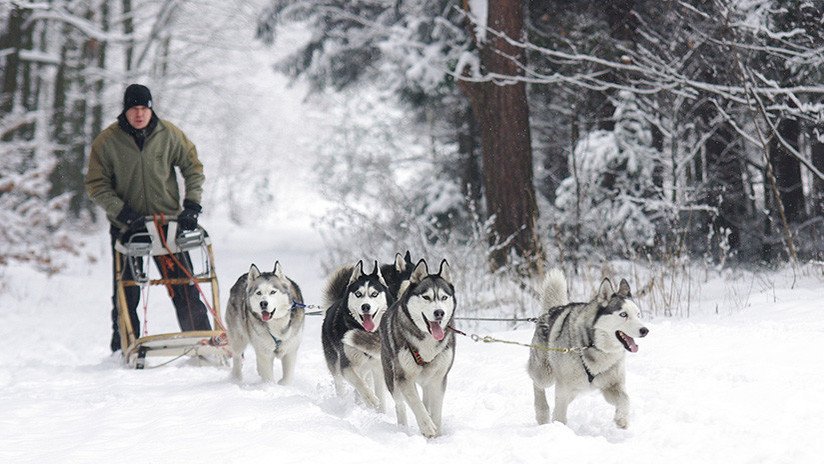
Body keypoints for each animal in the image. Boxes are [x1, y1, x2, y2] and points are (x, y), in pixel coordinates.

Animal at [322, 260, 392, 410]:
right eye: (358, 294)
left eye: (374, 294)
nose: (365, 306)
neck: (365, 332)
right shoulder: (346, 365)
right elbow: (359, 383)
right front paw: (371, 399)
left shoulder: (378, 368)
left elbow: (380, 395)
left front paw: (381, 412)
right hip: (335, 364)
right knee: (341, 384)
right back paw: (342, 401)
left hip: (366, 368)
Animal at [382, 260, 458, 436]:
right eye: (426, 297)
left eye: (444, 297)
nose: (439, 312)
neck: (427, 340)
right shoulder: (404, 378)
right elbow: (416, 404)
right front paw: (427, 426)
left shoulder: (439, 378)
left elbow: (436, 410)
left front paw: (437, 433)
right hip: (392, 379)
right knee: (400, 404)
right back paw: (403, 427)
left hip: (427, 379)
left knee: (426, 399)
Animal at [528, 270, 652, 430]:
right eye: (623, 314)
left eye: (638, 314)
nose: (645, 330)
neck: (596, 347)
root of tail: (551, 311)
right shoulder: (563, 387)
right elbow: (560, 413)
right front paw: (559, 428)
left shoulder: (611, 385)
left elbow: (625, 399)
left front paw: (621, 419)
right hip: (545, 375)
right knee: (537, 385)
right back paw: (542, 413)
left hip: (575, 389)